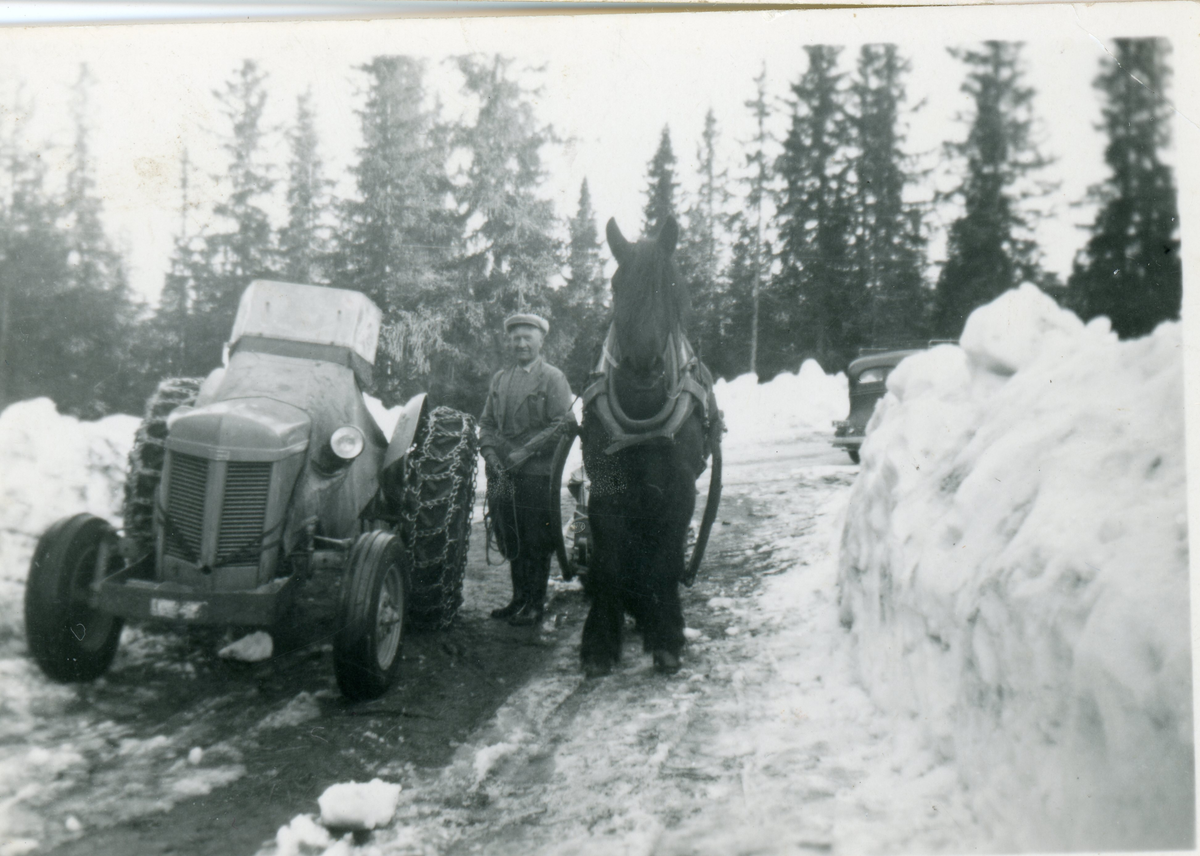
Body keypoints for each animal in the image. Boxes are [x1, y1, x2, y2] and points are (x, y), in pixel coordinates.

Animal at [576, 214, 715, 672]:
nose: (642, 367)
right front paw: (600, 640)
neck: (641, 410)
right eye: (616, 285)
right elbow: (608, 558)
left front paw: (667, 632)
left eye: (670, 287)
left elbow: (667, 556)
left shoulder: (680, 487)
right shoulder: (604, 489)